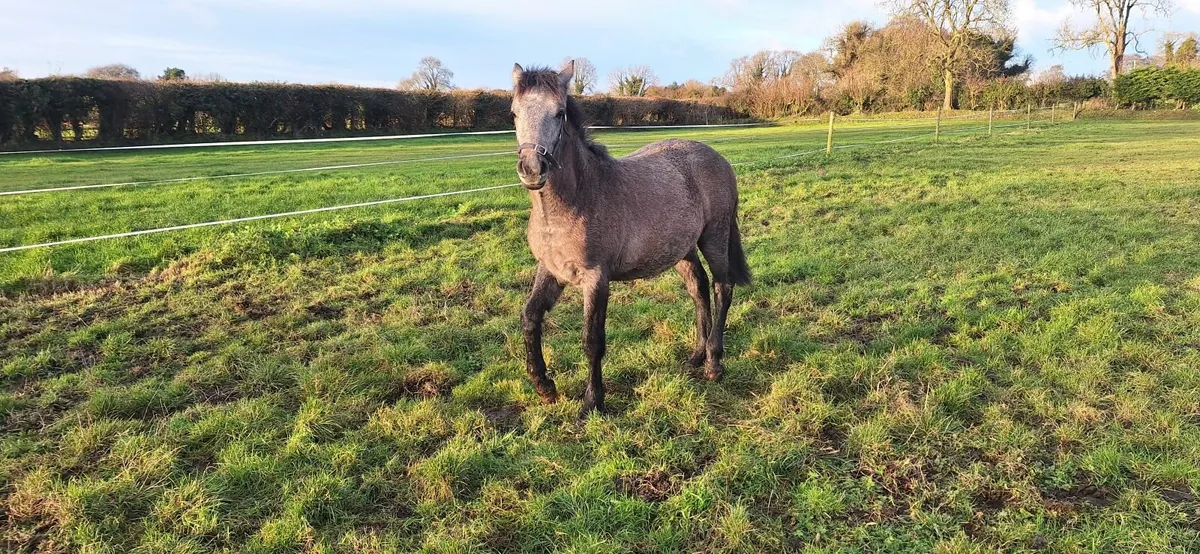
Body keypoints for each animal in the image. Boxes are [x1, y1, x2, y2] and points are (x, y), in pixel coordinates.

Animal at [512, 60, 751, 418]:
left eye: (559, 113)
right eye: (514, 113)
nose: (531, 168)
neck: (577, 200)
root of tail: (718, 158)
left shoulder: (597, 278)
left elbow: (592, 340)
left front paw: (592, 402)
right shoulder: (552, 271)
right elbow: (530, 318)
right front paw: (544, 386)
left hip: (715, 237)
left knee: (723, 287)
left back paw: (713, 363)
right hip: (681, 250)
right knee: (699, 289)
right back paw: (695, 356)